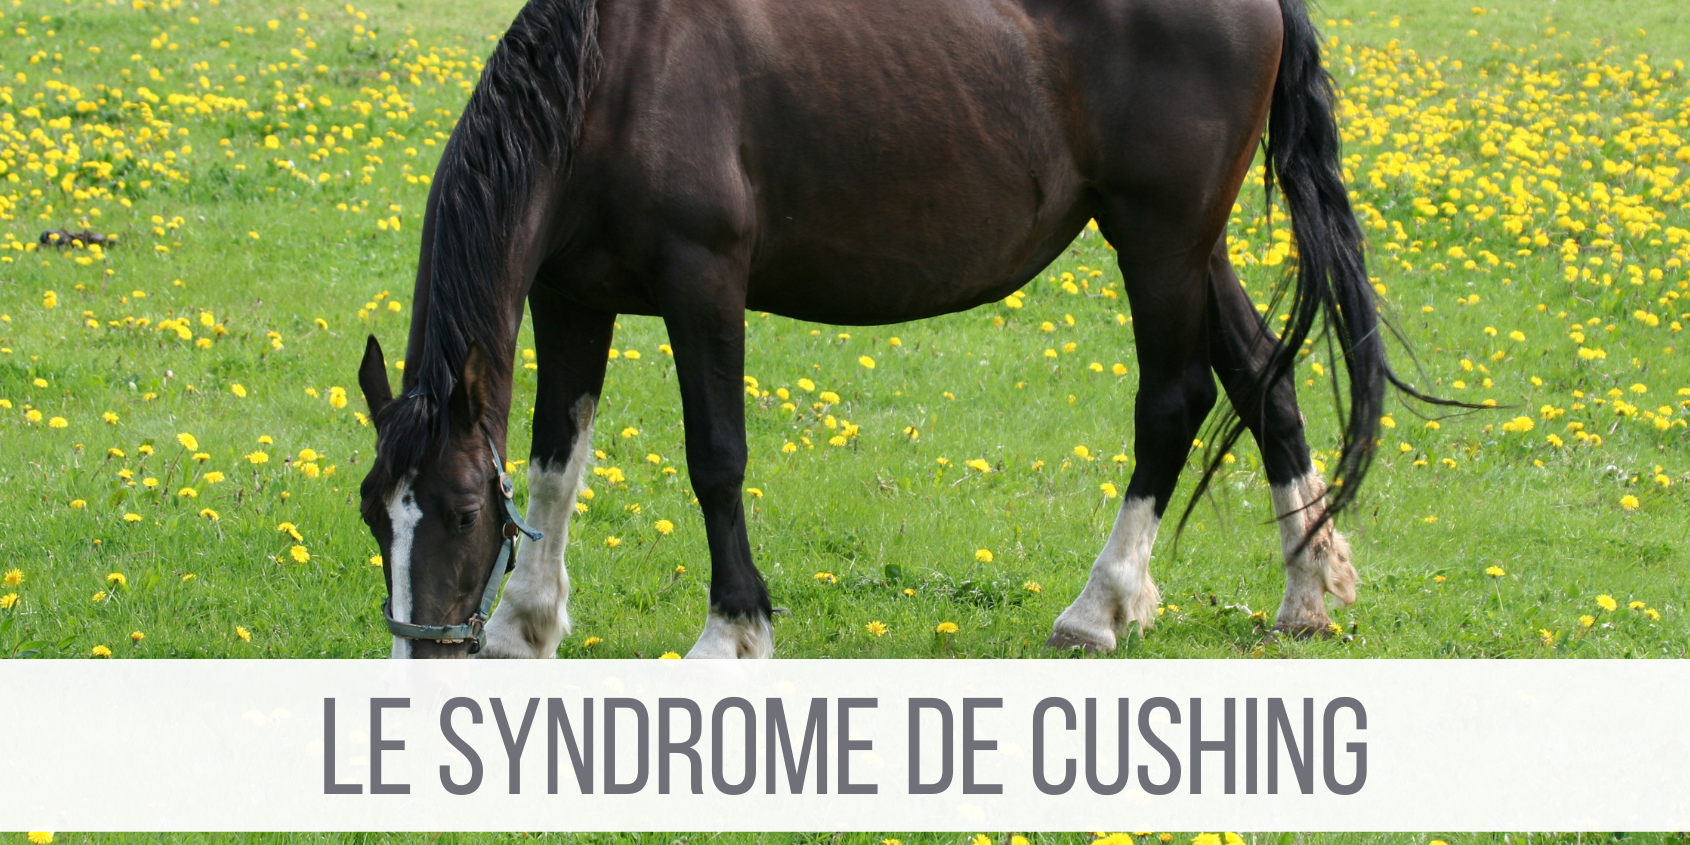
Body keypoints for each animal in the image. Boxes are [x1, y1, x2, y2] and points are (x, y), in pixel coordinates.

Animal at [356, 0, 1391, 659]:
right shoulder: (573, 298)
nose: (425, 665)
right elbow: (553, 465)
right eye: (375, 513)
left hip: (1160, 239)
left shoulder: (704, 283)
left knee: (1174, 405)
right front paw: (523, 627)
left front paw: (733, 631)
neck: (612, 81)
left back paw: (1098, 609)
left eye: (458, 514)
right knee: (1264, 377)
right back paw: (1307, 590)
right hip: (1189, 245)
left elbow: (715, 458)